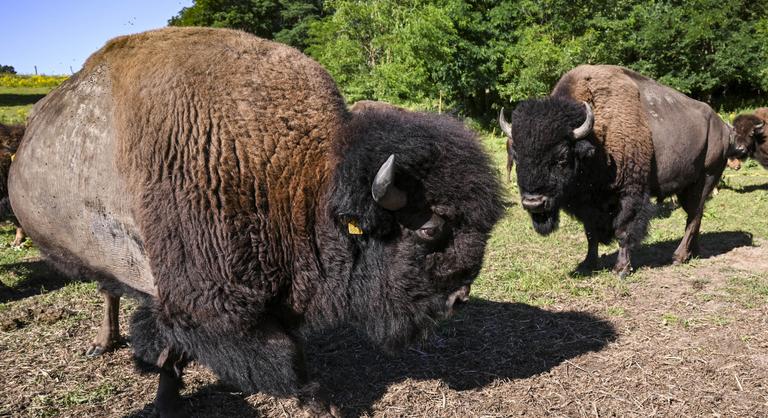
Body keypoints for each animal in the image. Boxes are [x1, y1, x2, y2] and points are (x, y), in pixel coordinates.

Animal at [10, 27, 510, 416]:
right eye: (430, 228)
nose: (459, 298)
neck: (297, 182)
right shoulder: (201, 302)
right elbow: (258, 357)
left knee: (108, 290)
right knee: (107, 289)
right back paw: (101, 343)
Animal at [500, 64, 736, 278]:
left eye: (562, 157)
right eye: (517, 156)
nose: (533, 203)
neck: (596, 141)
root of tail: (723, 127)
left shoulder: (630, 193)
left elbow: (623, 230)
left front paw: (621, 269)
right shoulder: (588, 203)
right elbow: (591, 234)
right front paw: (587, 264)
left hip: (705, 180)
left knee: (694, 216)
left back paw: (678, 256)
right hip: (687, 186)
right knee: (695, 217)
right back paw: (692, 252)